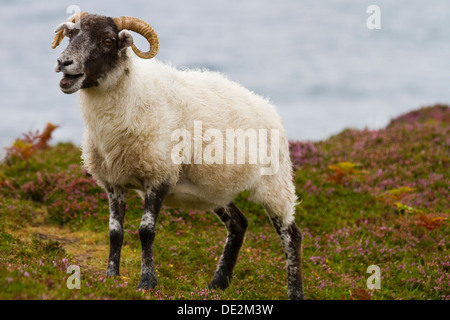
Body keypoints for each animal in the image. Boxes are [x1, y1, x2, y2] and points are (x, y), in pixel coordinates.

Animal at [52, 10, 306, 300]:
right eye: (71, 35)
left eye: (107, 40)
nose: (63, 62)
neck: (131, 97)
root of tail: (269, 107)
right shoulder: (113, 182)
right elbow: (115, 232)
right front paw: (111, 279)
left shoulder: (159, 175)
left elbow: (146, 231)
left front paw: (147, 283)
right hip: (214, 190)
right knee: (239, 224)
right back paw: (217, 284)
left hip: (274, 182)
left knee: (291, 235)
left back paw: (295, 292)